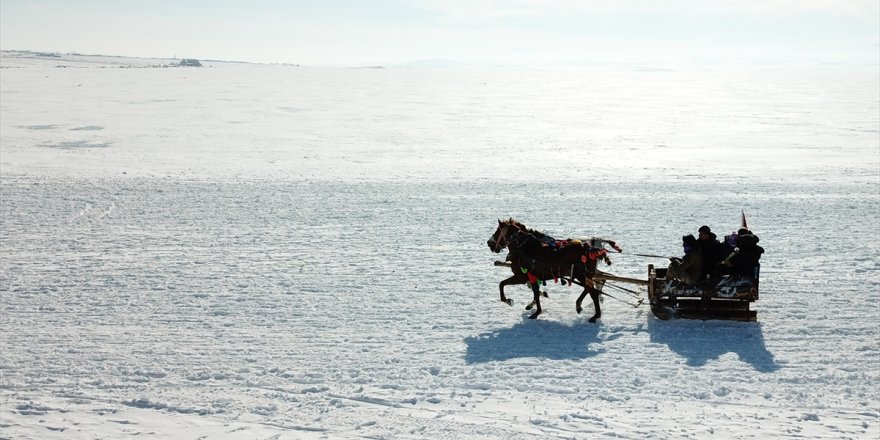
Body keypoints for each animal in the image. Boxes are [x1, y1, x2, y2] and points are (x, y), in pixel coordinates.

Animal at [484, 218, 624, 322]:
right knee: (591, 287)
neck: (523, 248)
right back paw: (580, 305)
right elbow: (535, 292)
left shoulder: (522, 276)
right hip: (584, 274)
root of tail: (590, 247)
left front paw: (509, 301)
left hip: (581, 274)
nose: (489, 243)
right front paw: (536, 310)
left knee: (593, 292)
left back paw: (595, 315)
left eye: (498, 231)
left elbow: (502, 284)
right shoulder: (531, 277)